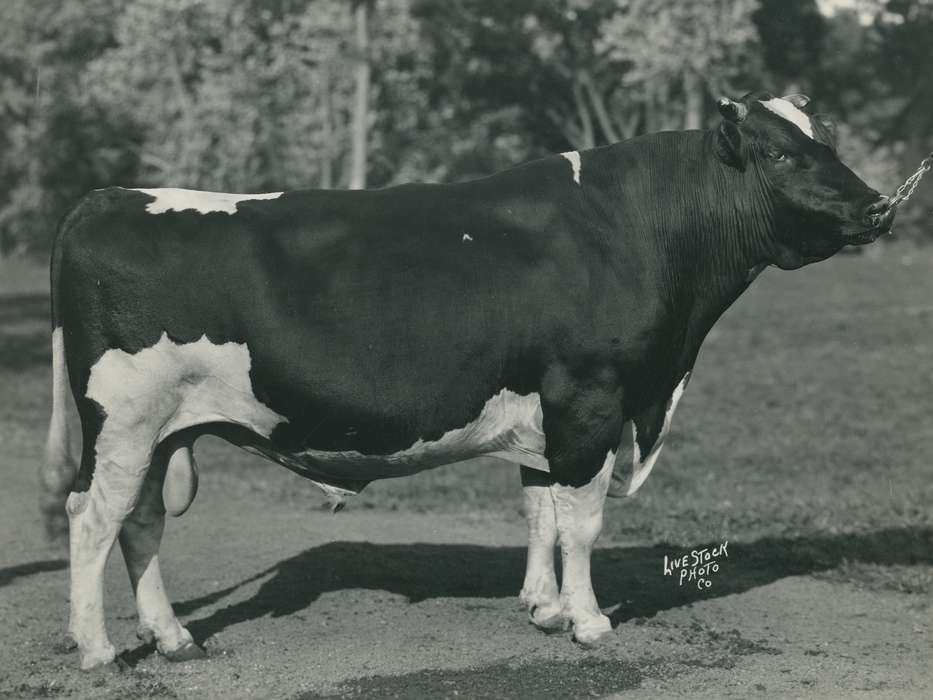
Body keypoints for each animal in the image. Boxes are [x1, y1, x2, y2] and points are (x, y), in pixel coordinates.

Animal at [39, 91, 895, 670]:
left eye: (827, 140)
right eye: (778, 152)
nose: (877, 206)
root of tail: (107, 197)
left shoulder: (548, 410)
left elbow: (540, 509)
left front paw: (542, 608)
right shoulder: (590, 397)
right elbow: (580, 519)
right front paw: (587, 621)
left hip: (161, 430)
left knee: (141, 522)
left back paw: (173, 637)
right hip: (123, 420)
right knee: (92, 518)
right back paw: (98, 650)